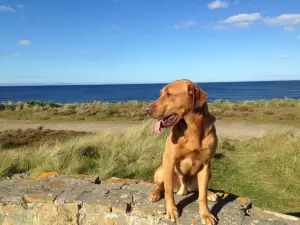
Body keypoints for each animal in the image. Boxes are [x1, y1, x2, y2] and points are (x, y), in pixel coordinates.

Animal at [146, 79, 218, 225]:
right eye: (161, 94)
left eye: (169, 94)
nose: (146, 110)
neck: (192, 128)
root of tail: (183, 190)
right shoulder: (169, 160)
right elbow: (168, 191)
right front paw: (171, 210)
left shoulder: (206, 164)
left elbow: (202, 196)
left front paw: (206, 214)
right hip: (160, 171)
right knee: (162, 187)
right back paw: (155, 194)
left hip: (209, 173)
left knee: (200, 189)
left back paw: (210, 193)